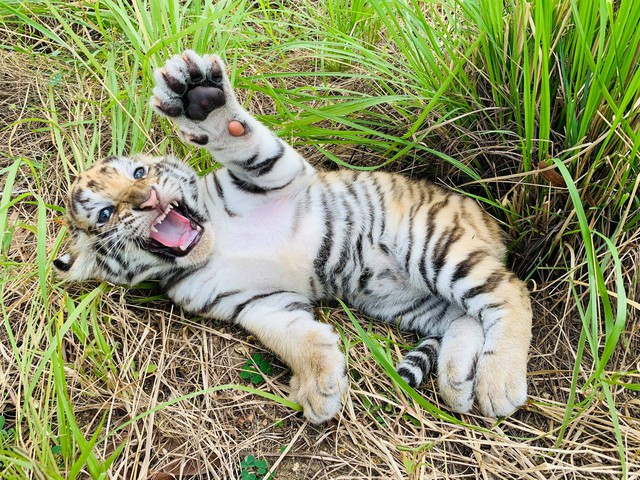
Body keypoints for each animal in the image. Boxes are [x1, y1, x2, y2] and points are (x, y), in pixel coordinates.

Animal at [53, 50, 532, 424]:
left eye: (139, 172)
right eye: (105, 213)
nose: (147, 198)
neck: (213, 242)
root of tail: (488, 221)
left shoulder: (274, 175)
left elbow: (241, 140)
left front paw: (196, 96)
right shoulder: (256, 302)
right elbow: (292, 337)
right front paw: (319, 385)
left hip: (431, 245)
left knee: (511, 291)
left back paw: (498, 384)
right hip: (404, 299)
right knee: (466, 316)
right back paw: (457, 382)